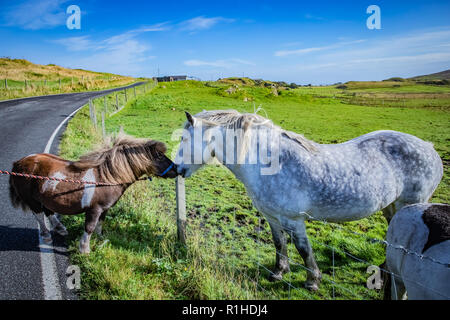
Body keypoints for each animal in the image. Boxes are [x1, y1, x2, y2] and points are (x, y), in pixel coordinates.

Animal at [8, 134, 177, 252]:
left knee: (48, 211)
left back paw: (60, 228)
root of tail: (18, 163)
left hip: (45, 197)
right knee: (39, 215)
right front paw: (84, 248)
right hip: (32, 200)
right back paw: (47, 236)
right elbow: (89, 227)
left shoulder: (104, 209)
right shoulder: (94, 210)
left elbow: (100, 225)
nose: (177, 169)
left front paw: (101, 240)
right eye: (159, 156)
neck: (108, 177)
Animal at [175, 109, 442, 290]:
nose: (176, 169)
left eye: (184, 139)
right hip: (391, 207)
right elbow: (279, 244)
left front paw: (312, 281)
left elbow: (303, 249)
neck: (268, 162)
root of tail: (430, 148)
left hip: (410, 204)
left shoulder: (293, 220)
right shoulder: (272, 217)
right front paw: (278, 273)